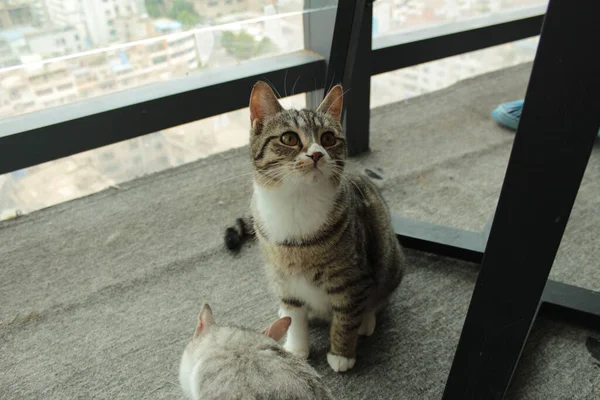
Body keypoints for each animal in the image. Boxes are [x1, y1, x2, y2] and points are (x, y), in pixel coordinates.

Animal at [239, 80, 404, 372]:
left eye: (328, 138)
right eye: (289, 138)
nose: (316, 154)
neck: (297, 202)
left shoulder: (351, 278)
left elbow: (346, 317)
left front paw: (342, 354)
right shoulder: (284, 278)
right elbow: (294, 315)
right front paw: (296, 348)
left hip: (390, 259)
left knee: (379, 298)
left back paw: (367, 320)